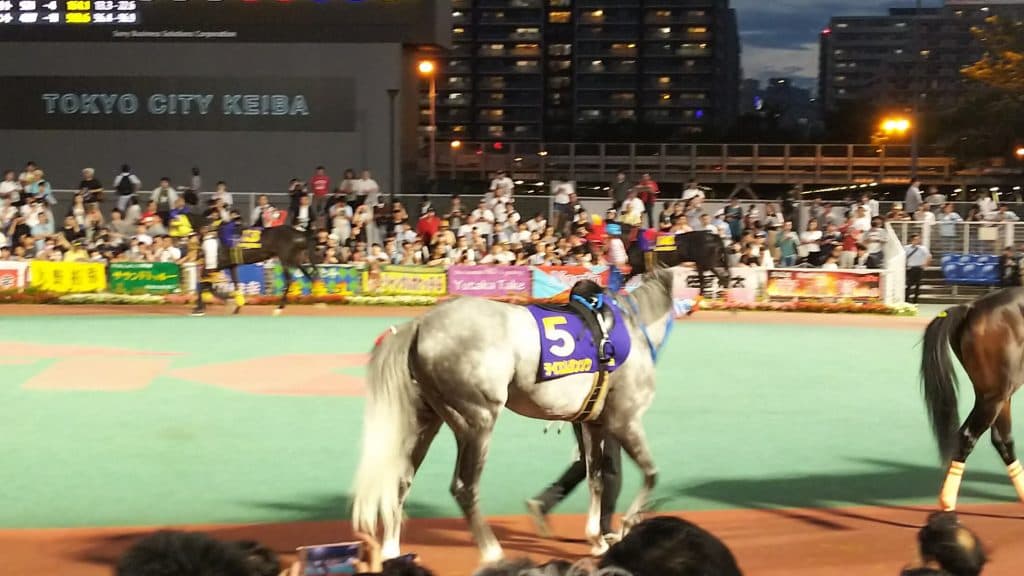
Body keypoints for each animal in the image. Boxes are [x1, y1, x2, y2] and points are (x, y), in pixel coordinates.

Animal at [176, 212, 320, 316]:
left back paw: (280, 307)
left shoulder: (218, 264)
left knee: (289, 280)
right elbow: (229, 284)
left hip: (285, 259)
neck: (212, 232)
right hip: (294, 259)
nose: (177, 241)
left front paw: (201, 307)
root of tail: (299, 233)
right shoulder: (230, 265)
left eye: (175, 225)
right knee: (309, 275)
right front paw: (236, 305)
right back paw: (316, 299)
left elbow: (203, 284)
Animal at [351, 268, 678, 562]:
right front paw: (626, 525)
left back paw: (392, 550)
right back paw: (492, 552)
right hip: (476, 420)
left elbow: (596, 478)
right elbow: (651, 474)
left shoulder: (593, 424)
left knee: (401, 479)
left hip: (427, 419)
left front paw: (598, 539)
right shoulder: (625, 420)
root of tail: (420, 324)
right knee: (464, 488)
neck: (630, 331)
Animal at [920, 287, 1024, 511]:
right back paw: (947, 503)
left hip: (994, 394)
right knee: (968, 437)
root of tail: (970, 307)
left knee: (1002, 440)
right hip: (995, 395)